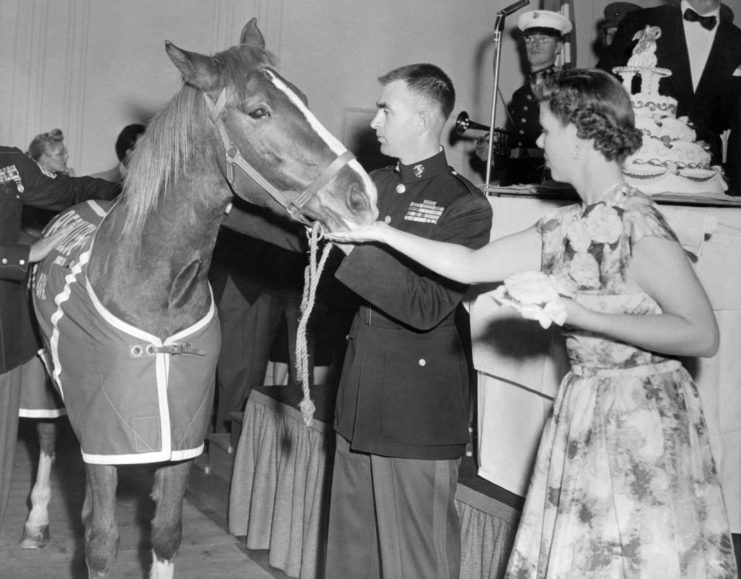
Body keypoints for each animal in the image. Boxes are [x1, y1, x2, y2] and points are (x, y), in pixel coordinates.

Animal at [24, 18, 376, 579]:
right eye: (258, 111)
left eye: (302, 97)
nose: (361, 197)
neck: (156, 289)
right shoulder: (104, 437)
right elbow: (100, 541)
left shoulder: (181, 437)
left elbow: (166, 532)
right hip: (42, 375)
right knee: (46, 440)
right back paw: (36, 520)